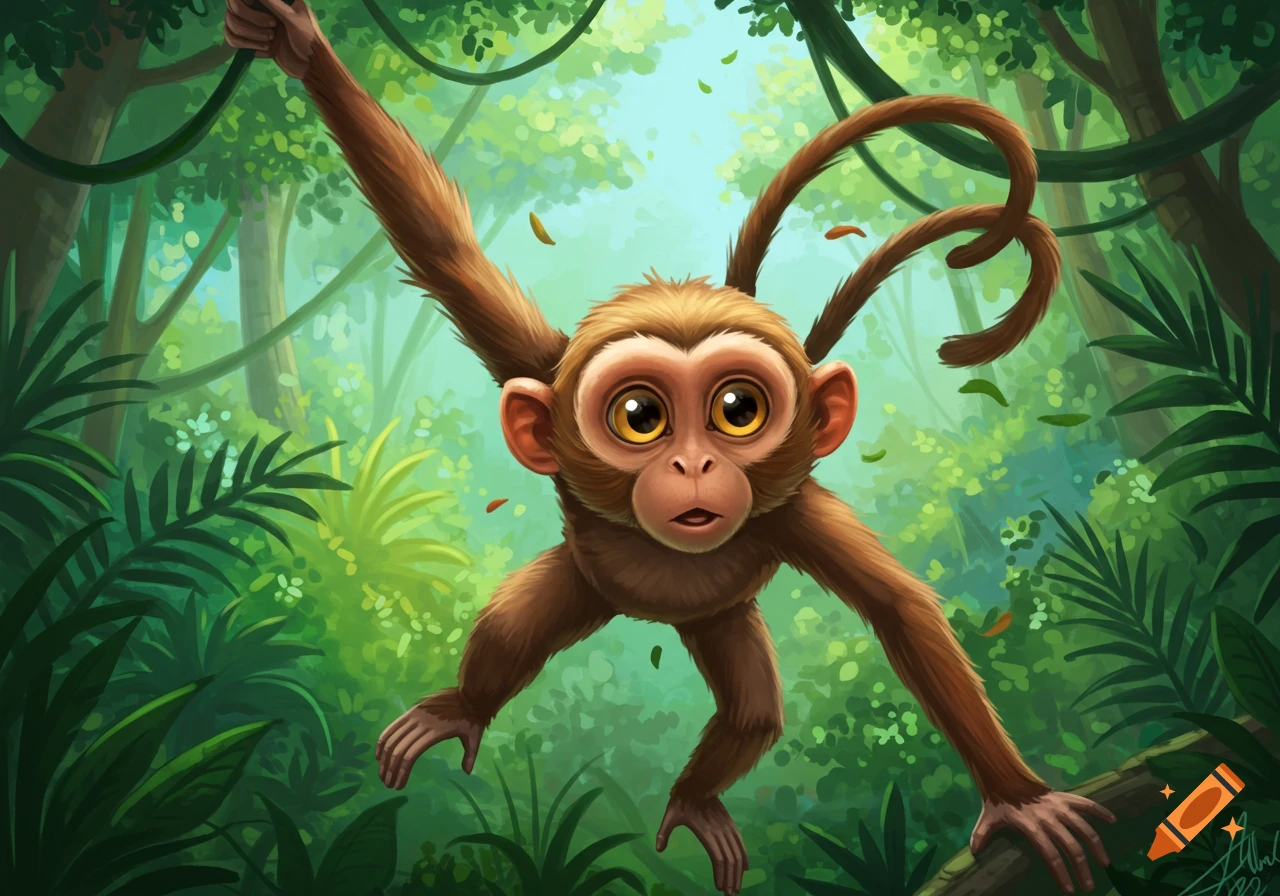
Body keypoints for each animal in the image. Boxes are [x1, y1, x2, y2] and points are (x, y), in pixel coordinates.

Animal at [225, 2, 1118, 893]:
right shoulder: (540, 364)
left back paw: (694, 797)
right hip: (588, 581)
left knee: (752, 711)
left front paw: (1019, 799)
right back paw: (466, 708)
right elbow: (442, 250)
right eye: (640, 416)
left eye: (737, 410)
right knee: (512, 630)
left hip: (721, 614)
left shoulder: (790, 511)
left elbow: (900, 613)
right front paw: (300, 48)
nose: (693, 465)